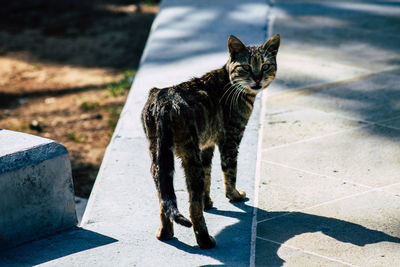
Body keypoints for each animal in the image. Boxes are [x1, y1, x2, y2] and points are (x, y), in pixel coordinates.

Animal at [142, 34, 280, 250]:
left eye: (265, 66)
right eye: (246, 67)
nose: (258, 78)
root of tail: (165, 101)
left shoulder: (206, 145)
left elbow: (209, 177)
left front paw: (208, 202)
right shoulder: (230, 139)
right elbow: (230, 172)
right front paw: (234, 195)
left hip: (158, 157)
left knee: (164, 200)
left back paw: (165, 233)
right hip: (190, 157)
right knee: (192, 206)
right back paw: (205, 241)